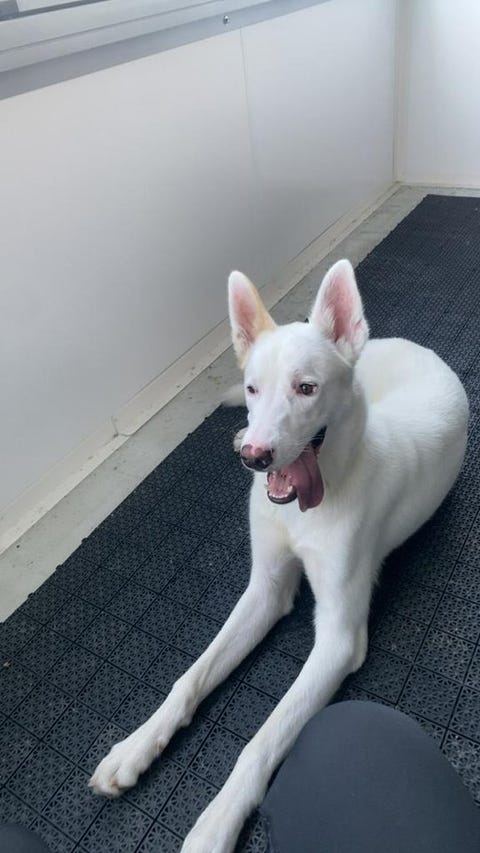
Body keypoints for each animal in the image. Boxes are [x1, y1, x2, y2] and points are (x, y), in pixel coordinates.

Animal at [90, 260, 469, 852]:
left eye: (306, 388)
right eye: (252, 387)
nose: (255, 457)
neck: (306, 508)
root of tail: (417, 345)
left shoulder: (339, 640)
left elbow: (262, 740)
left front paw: (217, 820)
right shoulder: (265, 590)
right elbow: (191, 677)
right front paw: (135, 746)